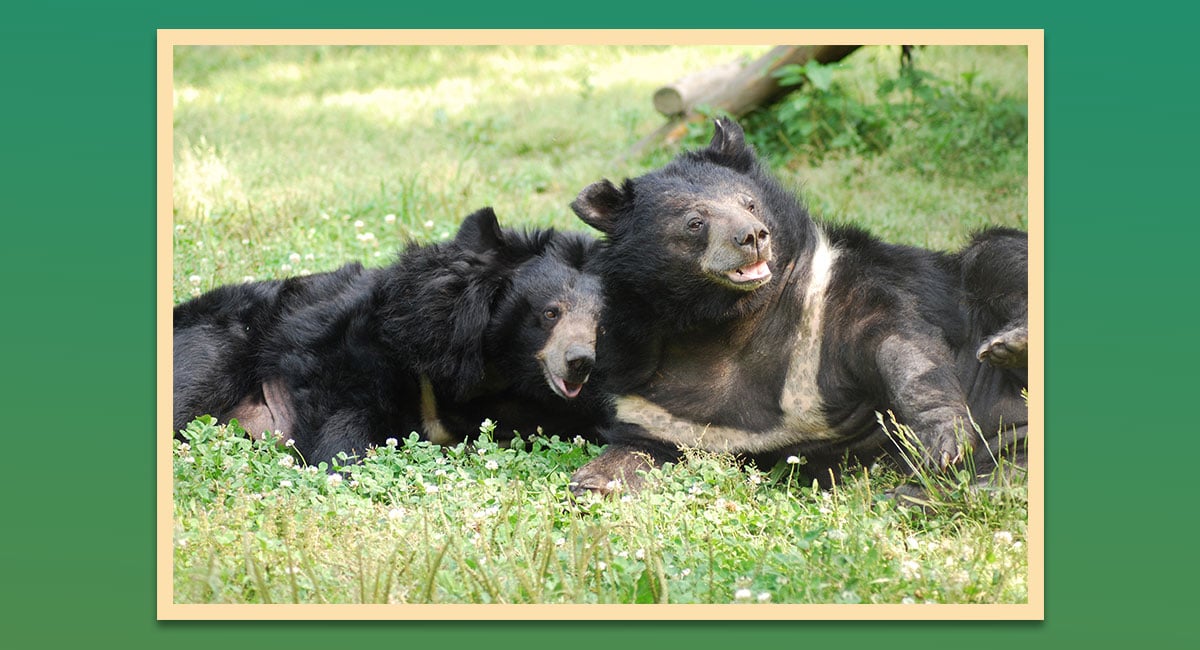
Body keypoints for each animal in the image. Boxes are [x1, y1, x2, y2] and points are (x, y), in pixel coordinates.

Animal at [175, 206, 609, 465]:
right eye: (550, 313)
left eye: (601, 325)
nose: (579, 362)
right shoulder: (352, 350)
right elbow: (344, 413)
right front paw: (340, 464)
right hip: (218, 342)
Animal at [566, 118, 1027, 498]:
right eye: (695, 223)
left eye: (749, 203)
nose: (753, 236)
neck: (724, 322)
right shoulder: (651, 396)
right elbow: (642, 445)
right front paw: (590, 483)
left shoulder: (827, 300)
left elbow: (897, 340)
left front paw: (942, 442)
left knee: (993, 256)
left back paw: (1012, 345)